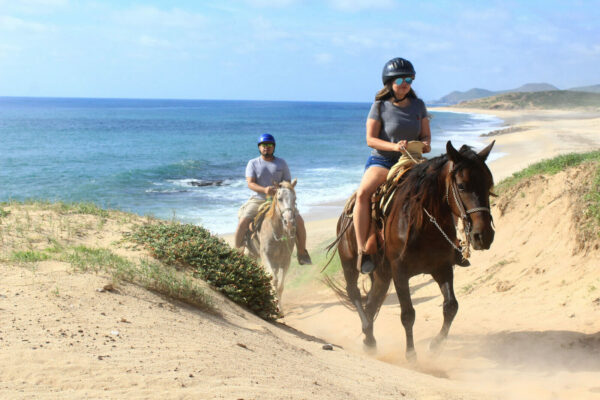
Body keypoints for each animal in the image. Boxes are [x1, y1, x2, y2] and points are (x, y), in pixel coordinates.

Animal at [330, 141, 494, 360]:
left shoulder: (442, 267)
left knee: (372, 302)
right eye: (461, 186)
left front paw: (435, 346)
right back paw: (367, 331)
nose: (483, 236)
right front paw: (411, 356)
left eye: (489, 184)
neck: (425, 222)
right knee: (354, 292)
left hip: (382, 274)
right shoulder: (400, 272)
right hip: (349, 263)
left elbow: (451, 306)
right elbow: (408, 314)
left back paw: (369, 340)